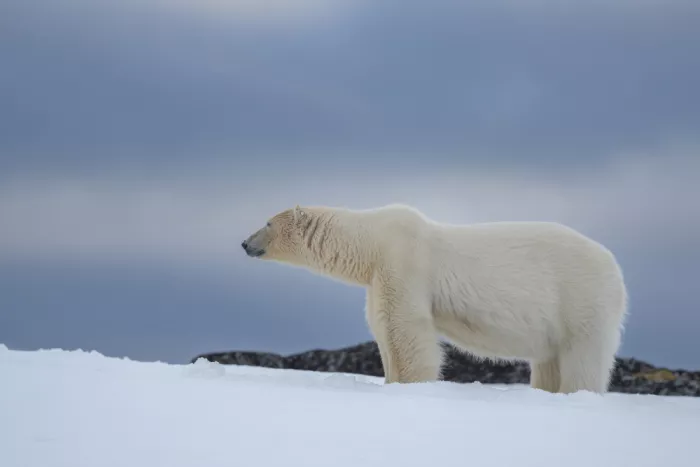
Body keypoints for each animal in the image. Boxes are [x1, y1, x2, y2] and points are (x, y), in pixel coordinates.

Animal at [241, 203, 628, 394]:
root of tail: (616, 271)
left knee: (583, 357)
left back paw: (577, 393)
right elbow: (383, 329)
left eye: (267, 223)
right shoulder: (379, 277)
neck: (373, 241)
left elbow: (407, 330)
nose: (244, 243)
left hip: (580, 299)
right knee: (549, 361)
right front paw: (390, 382)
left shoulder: (403, 263)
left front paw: (412, 386)